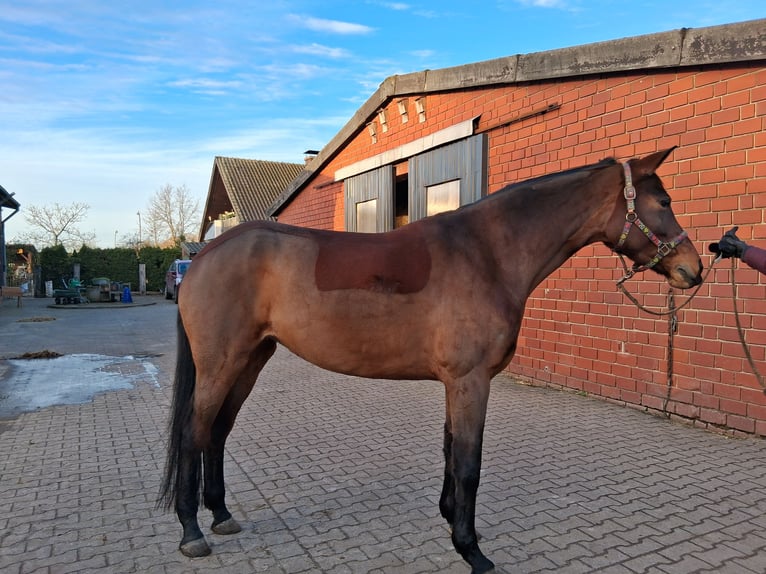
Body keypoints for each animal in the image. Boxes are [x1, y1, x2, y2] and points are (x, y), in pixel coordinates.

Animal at [158, 147, 702, 573]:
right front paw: (472, 551)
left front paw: (450, 521)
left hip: (251, 359)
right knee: (193, 432)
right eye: (664, 203)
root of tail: (205, 254)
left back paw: (220, 516)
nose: (692, 269)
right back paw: (191, 533)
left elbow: (449, 452)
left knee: (218, 432)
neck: (487, 254)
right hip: (223, 364)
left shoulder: (455, 382)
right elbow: (468, 464)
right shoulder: (471, 380)